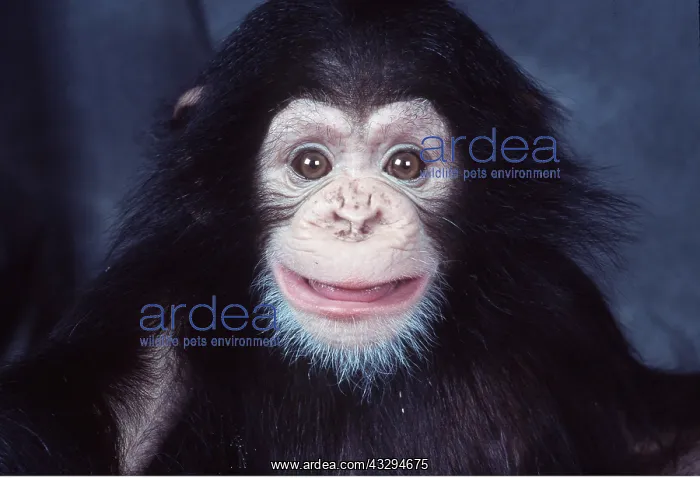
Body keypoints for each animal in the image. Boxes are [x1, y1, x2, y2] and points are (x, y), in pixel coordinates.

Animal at [0, 0, 699, 474]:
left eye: (406, 165)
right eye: (311, 164)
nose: (356, 215)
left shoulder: (564, 314)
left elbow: (660, 444)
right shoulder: (146, 326)